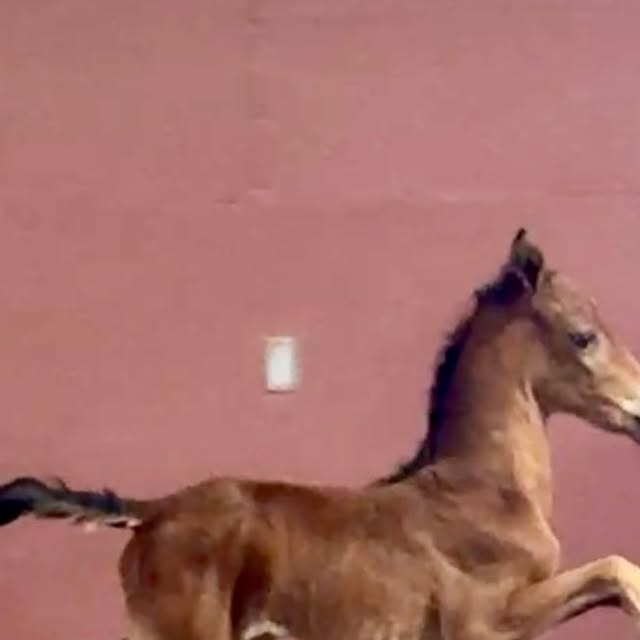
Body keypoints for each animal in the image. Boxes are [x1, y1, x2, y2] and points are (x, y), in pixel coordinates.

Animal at [3, 228, 640, 640]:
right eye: (583, 336)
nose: (639, 408)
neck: (485, 489)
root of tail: (152, 511)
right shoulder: (485, 622)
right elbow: (615, 567)